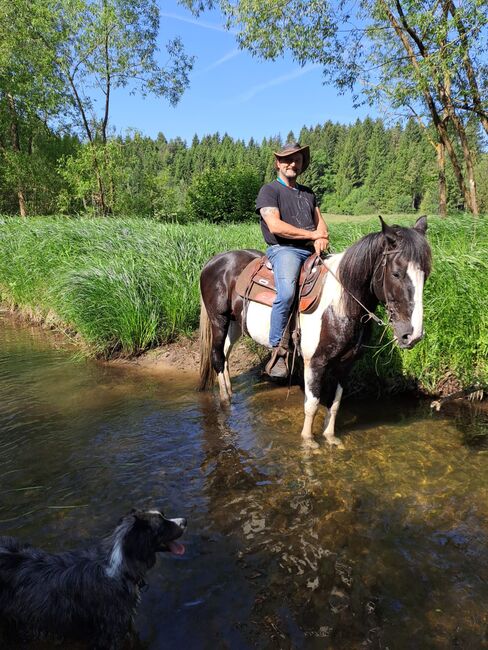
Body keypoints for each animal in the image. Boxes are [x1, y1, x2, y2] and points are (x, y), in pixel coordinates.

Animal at [198, 216, 430, 446]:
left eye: (426, 274)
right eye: (396, 273)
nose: (413, 335)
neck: (339, 305)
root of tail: (214, 261)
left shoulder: (345, 364)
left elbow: (334, 403)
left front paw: (330, 437)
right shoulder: (315, 362)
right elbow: (312, 404)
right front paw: (309, 442)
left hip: (236, 324)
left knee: (226, 355)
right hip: (219, 320)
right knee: (217, 357)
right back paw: (226, 401)